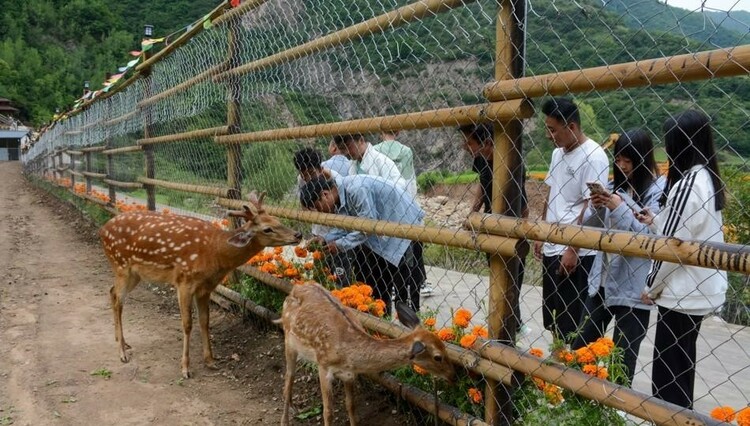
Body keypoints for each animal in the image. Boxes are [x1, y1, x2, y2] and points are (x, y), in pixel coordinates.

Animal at [100, 191, 302, 378]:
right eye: (267, 229)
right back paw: (122, 353)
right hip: (121, 265)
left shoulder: (205, 288)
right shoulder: (184, 281)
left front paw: (211, 361)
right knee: (118, 300)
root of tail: (102, 230)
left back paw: (121, 341)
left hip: (135, 273)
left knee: (111, 292)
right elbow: (187, 324)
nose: (298, 234)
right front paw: (185, 368)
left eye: (277, 219)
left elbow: (205, 322)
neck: (215, 252)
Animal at [276, 282, 452, 426]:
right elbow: (328, 412)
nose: (453, 376)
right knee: (288, 378)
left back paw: (292, 407)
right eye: (438, 357)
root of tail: (295, 287)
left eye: (445, 347)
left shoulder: (349, 374)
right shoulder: (323, 365)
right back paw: (284, 420)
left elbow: (351, 406)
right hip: (289, 341)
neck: (347, 353)